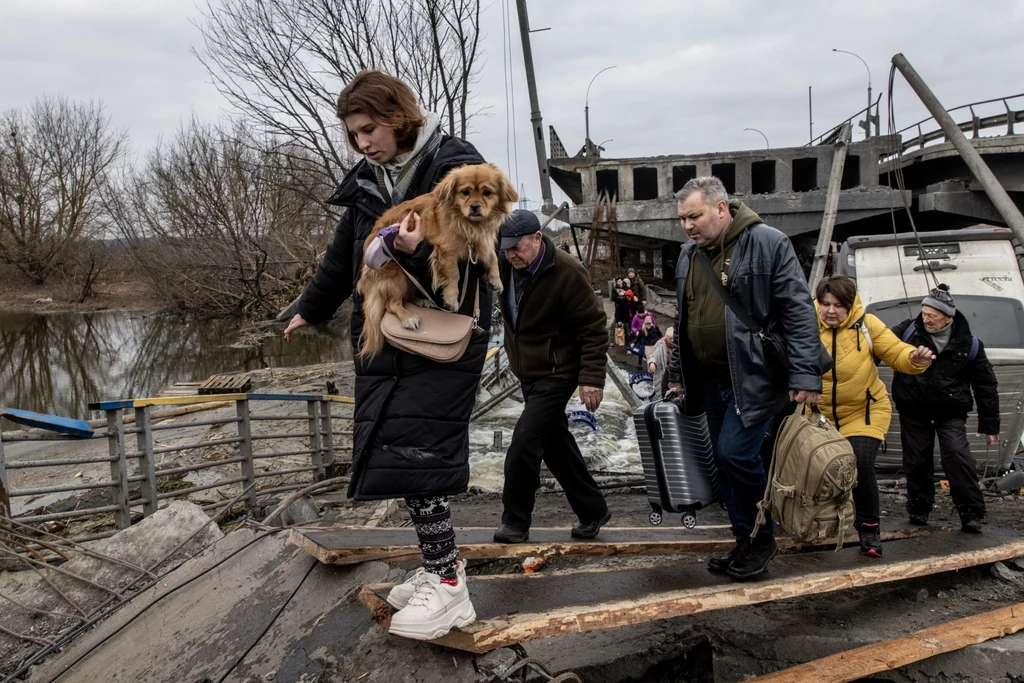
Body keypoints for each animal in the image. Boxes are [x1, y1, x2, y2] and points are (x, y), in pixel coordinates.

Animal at [358, 163, 520, 360]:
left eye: (487, 192)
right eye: (465, 192)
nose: (474, 206)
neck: (469, 224)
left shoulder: (480, 241)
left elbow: (493, 257)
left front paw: (495, 280)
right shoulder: (447, 249)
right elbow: (453, 274)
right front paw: (451, 299)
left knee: (408, 295)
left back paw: (422, 301)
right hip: (395, 276)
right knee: (392, 304)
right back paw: (408, 317)